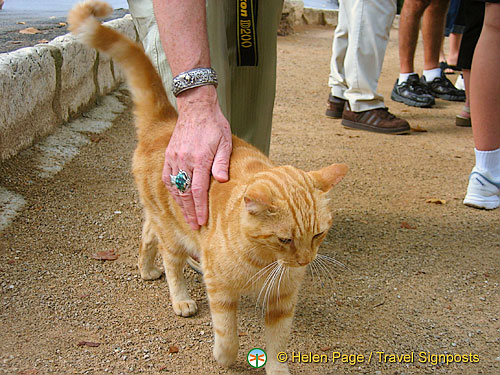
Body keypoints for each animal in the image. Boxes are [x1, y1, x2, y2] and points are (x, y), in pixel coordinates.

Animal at [67, 1, 348, 374]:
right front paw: (225, 357)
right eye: (285, 239)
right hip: (175, 234)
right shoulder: (220, 286)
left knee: (147, 233)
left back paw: (146, 268)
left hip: (166, 217)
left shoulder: (283, 298)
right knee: (171, 261)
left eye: (318, 235)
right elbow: (228, 334)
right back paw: (180, 297)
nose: (305, 261)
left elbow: (277, 345)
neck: (262, 262)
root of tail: (167, 120)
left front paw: (276, 367)